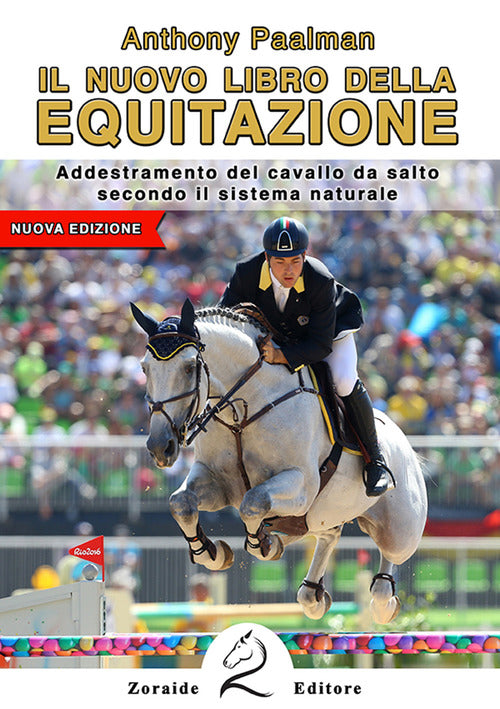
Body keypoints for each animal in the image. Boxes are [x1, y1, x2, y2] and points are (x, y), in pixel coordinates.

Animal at [131, 299, 428, 624]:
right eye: (144, 368)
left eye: (189, 367)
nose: (160, 448)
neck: (244, 410)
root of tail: (405, 444)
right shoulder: (219, 482)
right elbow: (181, 503)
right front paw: (213, 553)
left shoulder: (301, 484)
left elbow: (253, 503)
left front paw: (260, 544)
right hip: (320, 514)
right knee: (324, 535)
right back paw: (308, 588)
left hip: (399, 529)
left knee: (389, 560)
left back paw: (384, 602)